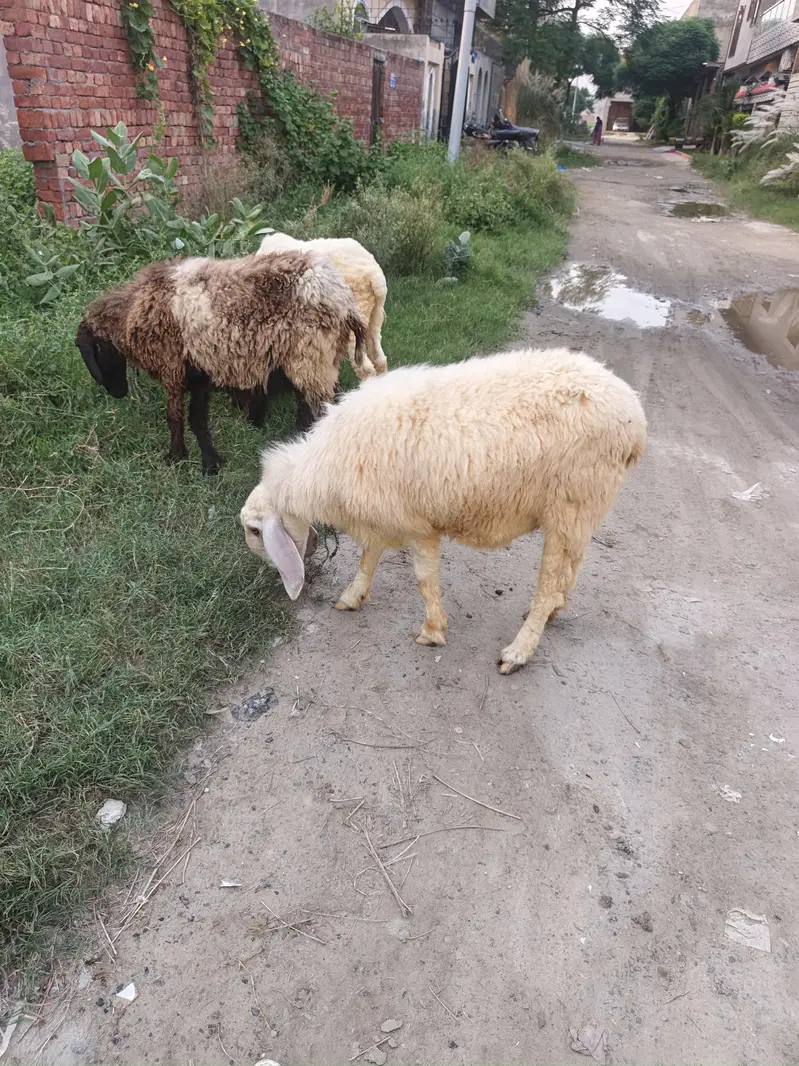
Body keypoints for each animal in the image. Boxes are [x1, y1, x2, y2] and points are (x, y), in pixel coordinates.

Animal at [76, 250, 369, 475]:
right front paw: (210, 463)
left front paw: (176, 456)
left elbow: (175, 416)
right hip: (323, 358)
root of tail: (343, 299)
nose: (117, 392)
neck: (134, 311)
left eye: (96, 351)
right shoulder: (197, 373)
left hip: (310, 358)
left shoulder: (171, 368)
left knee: (323, 407)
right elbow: (197, 418)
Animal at [240, 347, 647, 674]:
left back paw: (520, 648)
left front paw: (433, 630)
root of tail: (634, 416)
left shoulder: (416, 525)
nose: (306, 551)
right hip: (583, 507)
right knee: (572, 566)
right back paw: (555, 611)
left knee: (548, 582)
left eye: (255, 531)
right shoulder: (382, 513)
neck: (318, 470)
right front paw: (352, 596)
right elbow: (369, 557)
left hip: (570, 503)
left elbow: (423, 578)